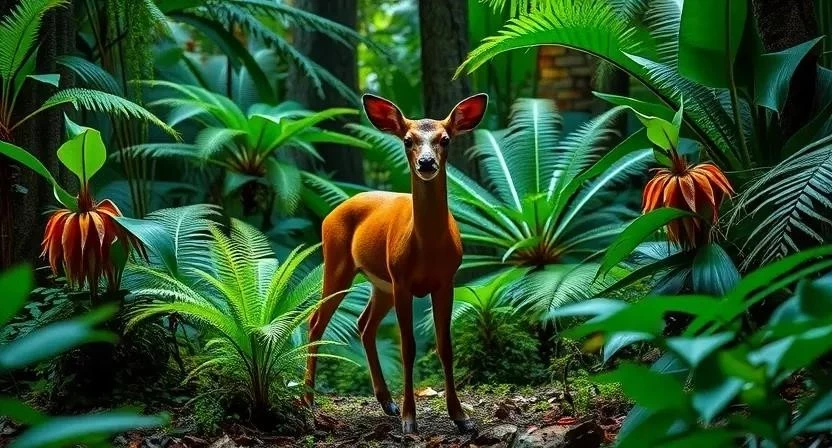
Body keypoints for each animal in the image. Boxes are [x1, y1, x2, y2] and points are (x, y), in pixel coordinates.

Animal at [304, 93, 488, 435]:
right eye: (407, 140)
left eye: (445, 139)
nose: (426, 163)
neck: (428, 248)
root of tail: (332, 212)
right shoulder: (403, 281)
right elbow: (408, 347)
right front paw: (409, 419)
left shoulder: (446, 281)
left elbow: (445, 346)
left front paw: (461, 417)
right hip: (337, 264)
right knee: (316, 321)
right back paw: (307, 401)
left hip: (381, 284)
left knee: (364, 324)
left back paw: (385, 401)